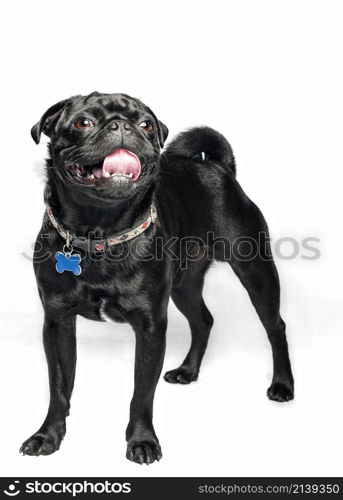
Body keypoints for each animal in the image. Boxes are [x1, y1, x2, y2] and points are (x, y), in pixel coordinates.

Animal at [20, 92, 296, 462]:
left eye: (147, 125)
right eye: (83, 122)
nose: (121, 125)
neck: (99, 231)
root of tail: (219, 167)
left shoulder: (150, 326)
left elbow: (141, 393)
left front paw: (142, 441)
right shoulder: (57, 323)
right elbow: (59, 388)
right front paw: (47, 435)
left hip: (256, 272)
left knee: (275, 327)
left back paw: (282, 384)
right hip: (185, 286)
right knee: (203, 321)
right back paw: (188, 371)